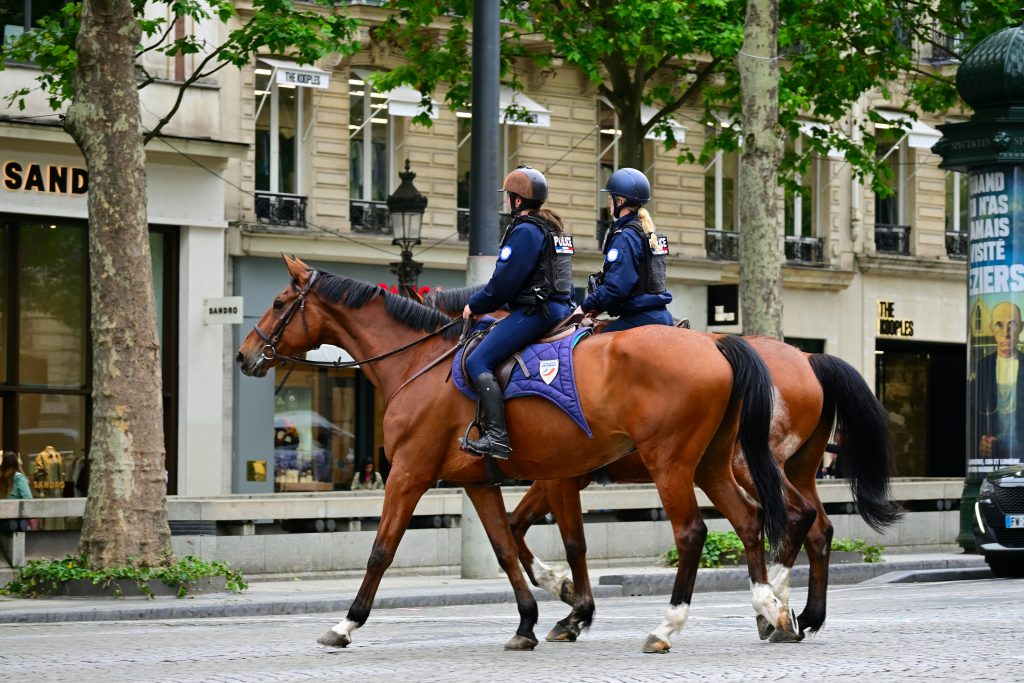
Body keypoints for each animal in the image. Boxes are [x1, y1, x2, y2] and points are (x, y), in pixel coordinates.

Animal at [235, 255, 786, 651]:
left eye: (280, 301)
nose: (244, 355)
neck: (421, 363)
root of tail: (716, 345)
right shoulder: (481, 481)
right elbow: (506, 548)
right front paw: (533, 618)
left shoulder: (410, 474)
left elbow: (382, 550)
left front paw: (347, 624)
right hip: (710, 463)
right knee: (749, 518)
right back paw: (771, 609)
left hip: (670, 463)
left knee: (693, 533)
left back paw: (669, 625)